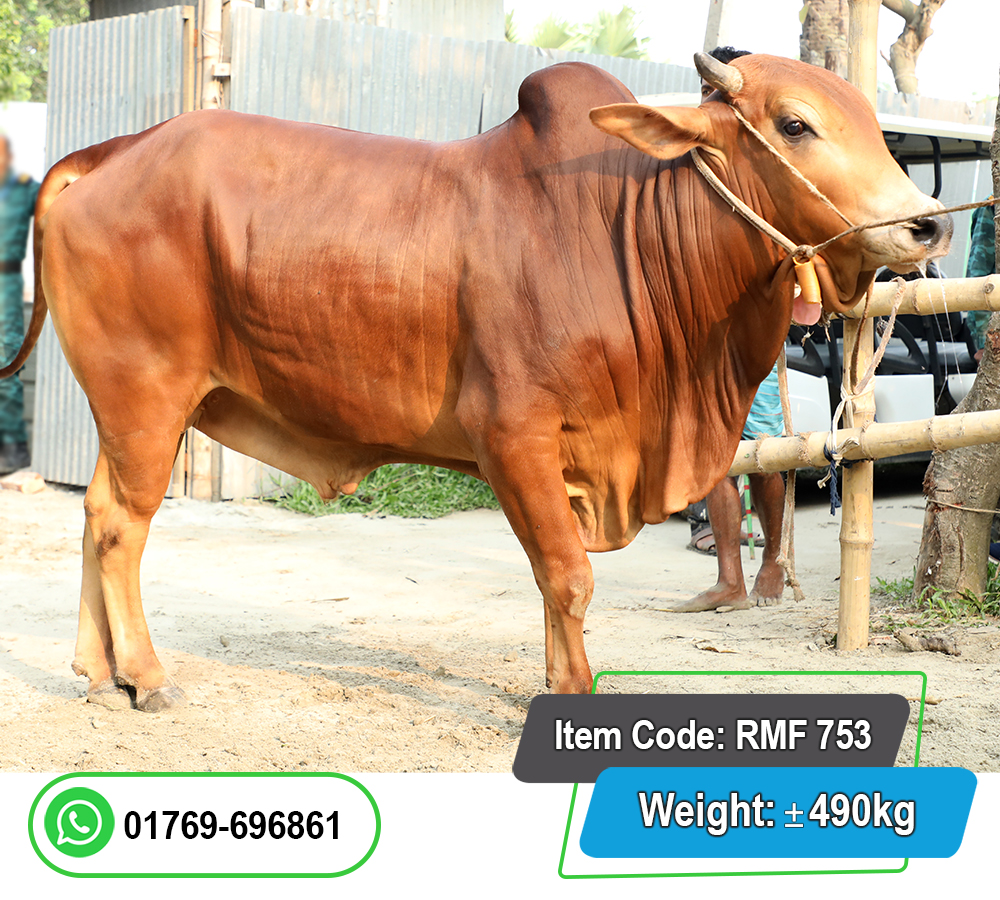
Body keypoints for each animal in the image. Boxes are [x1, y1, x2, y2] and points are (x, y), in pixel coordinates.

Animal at [1, 53, 950, 710]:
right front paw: (571, 695)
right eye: (794, 124)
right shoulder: (514, 439)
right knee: (120, 528)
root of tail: (109, 154)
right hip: (147, 396)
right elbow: (567, 577)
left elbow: (558, 582)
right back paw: (147, 677)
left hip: (132, 408)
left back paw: (100, 674)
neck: (625, 235)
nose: (928, 225)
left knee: (95, 513)